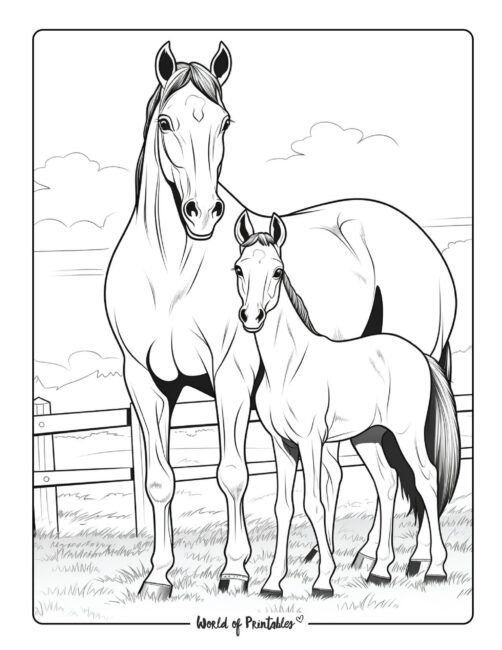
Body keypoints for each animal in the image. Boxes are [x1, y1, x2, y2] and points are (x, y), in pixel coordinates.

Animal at [233, 212, 461, 596]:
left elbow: (314, 503)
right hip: (368, 437)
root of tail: (421, 355)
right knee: (386, 483)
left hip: (407, 435)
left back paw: (435, 568)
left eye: (277, 271)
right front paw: (273, 583)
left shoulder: (310, 442)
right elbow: (283, 507)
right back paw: (380, 570)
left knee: (426, 479)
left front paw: (323, 580)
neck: (288, 364)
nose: (252, 317)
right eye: (239, 268)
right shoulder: (282, 444)